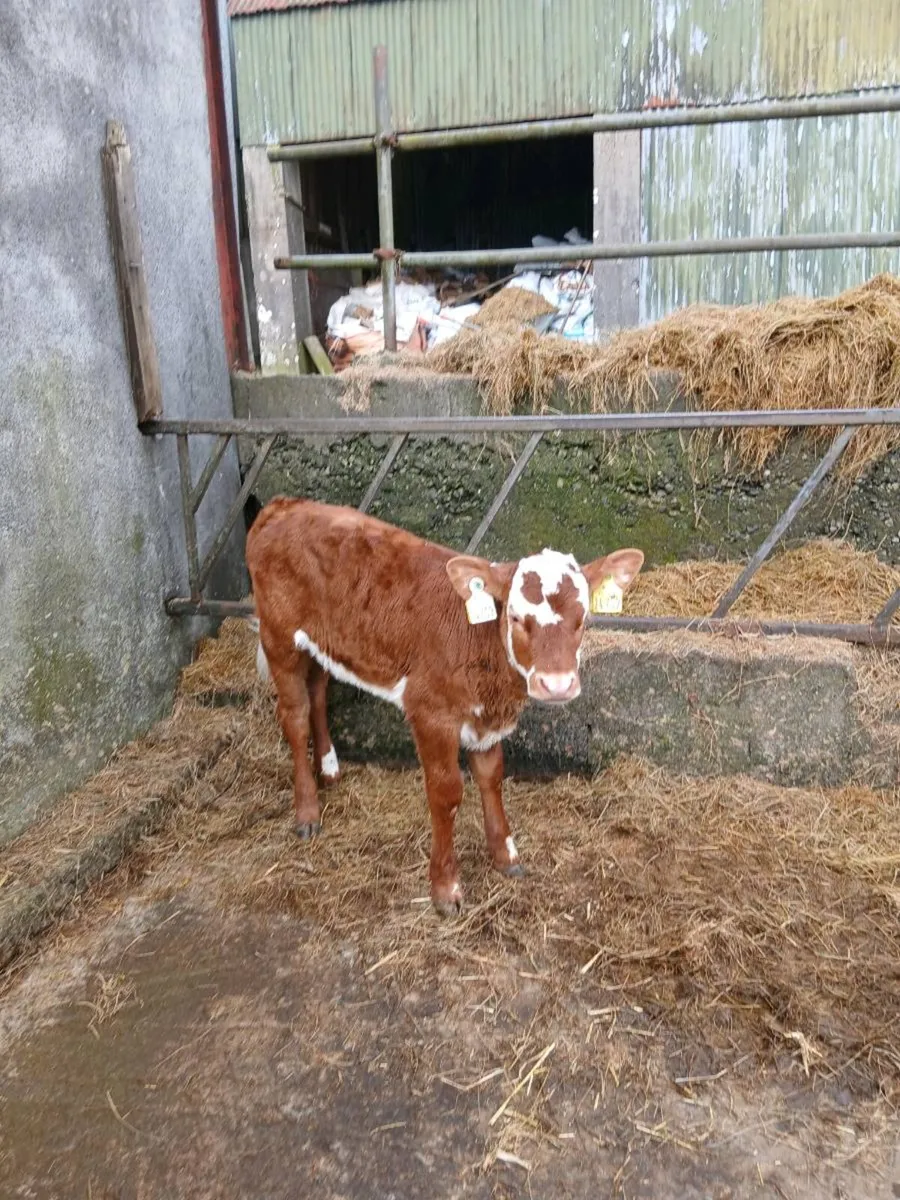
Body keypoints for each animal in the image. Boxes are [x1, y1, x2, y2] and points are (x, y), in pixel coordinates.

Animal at [246, 497, 643, 916]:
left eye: (583, 619)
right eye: (516, 617)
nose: (557, 684)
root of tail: (283, 505)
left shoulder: (487, 719)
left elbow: (491, 777)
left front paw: (506, 856)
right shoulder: (430, 712)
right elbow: (447, 793)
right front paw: (445, 887)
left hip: (324, 642)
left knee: (319, 693)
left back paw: (330, 769)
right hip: (279, 638)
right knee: (295, 715)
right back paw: (307, 811)